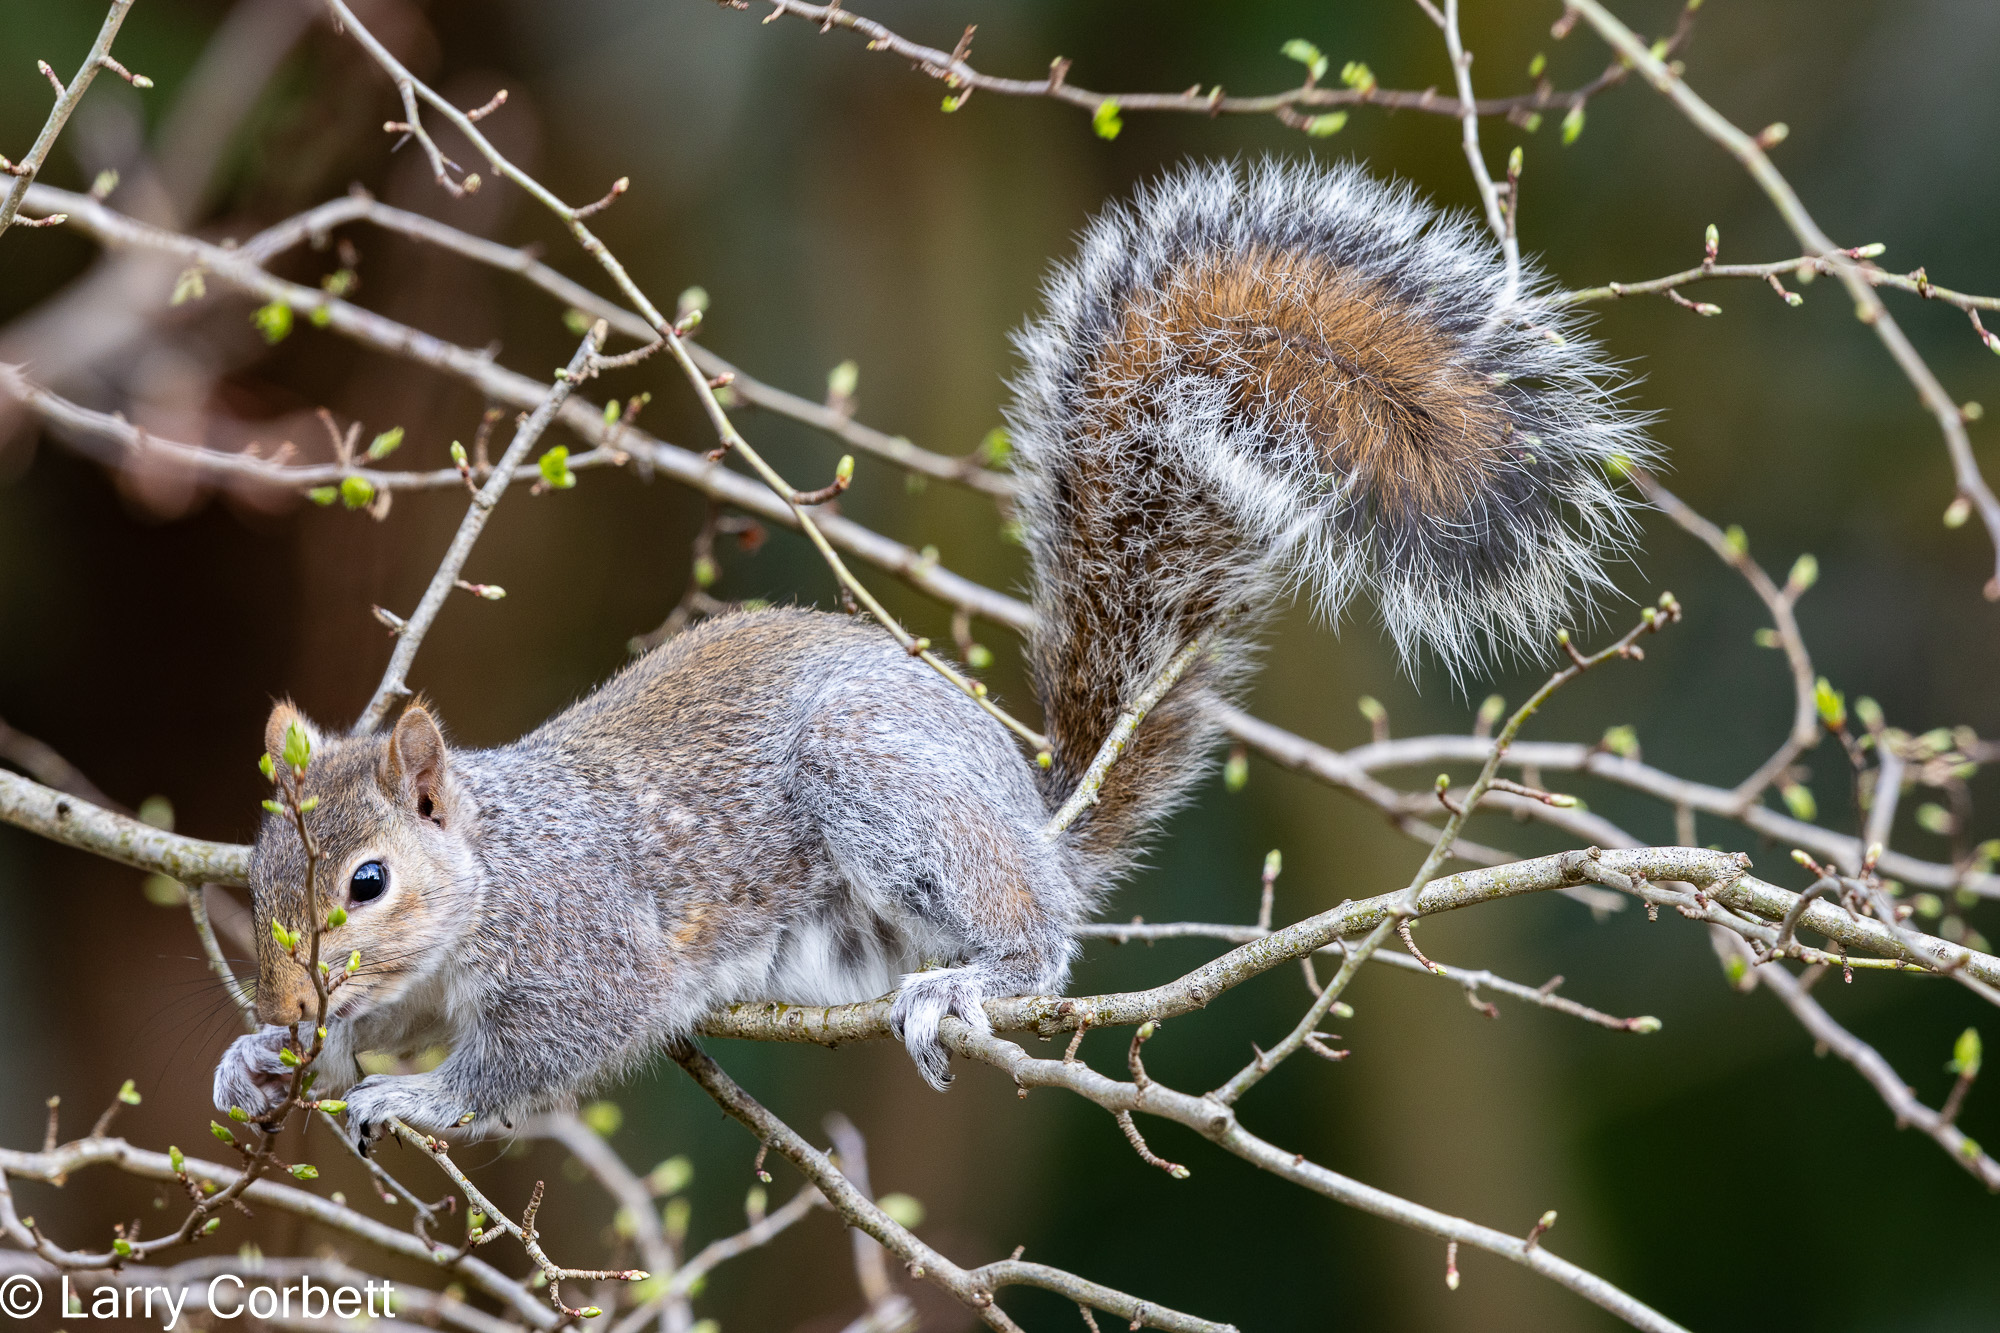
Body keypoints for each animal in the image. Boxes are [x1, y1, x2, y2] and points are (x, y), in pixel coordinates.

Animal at [215, 160, 1649, 1149]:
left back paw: (974, 975)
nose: (285, 1003)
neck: (488, 871)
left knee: (1037, 938)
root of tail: (1027, 818)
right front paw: (261, 1059)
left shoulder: (584, 945)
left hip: (885, 786)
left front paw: (417, 1097)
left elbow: (534, 1055)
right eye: (259, 860)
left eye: (368, 881)